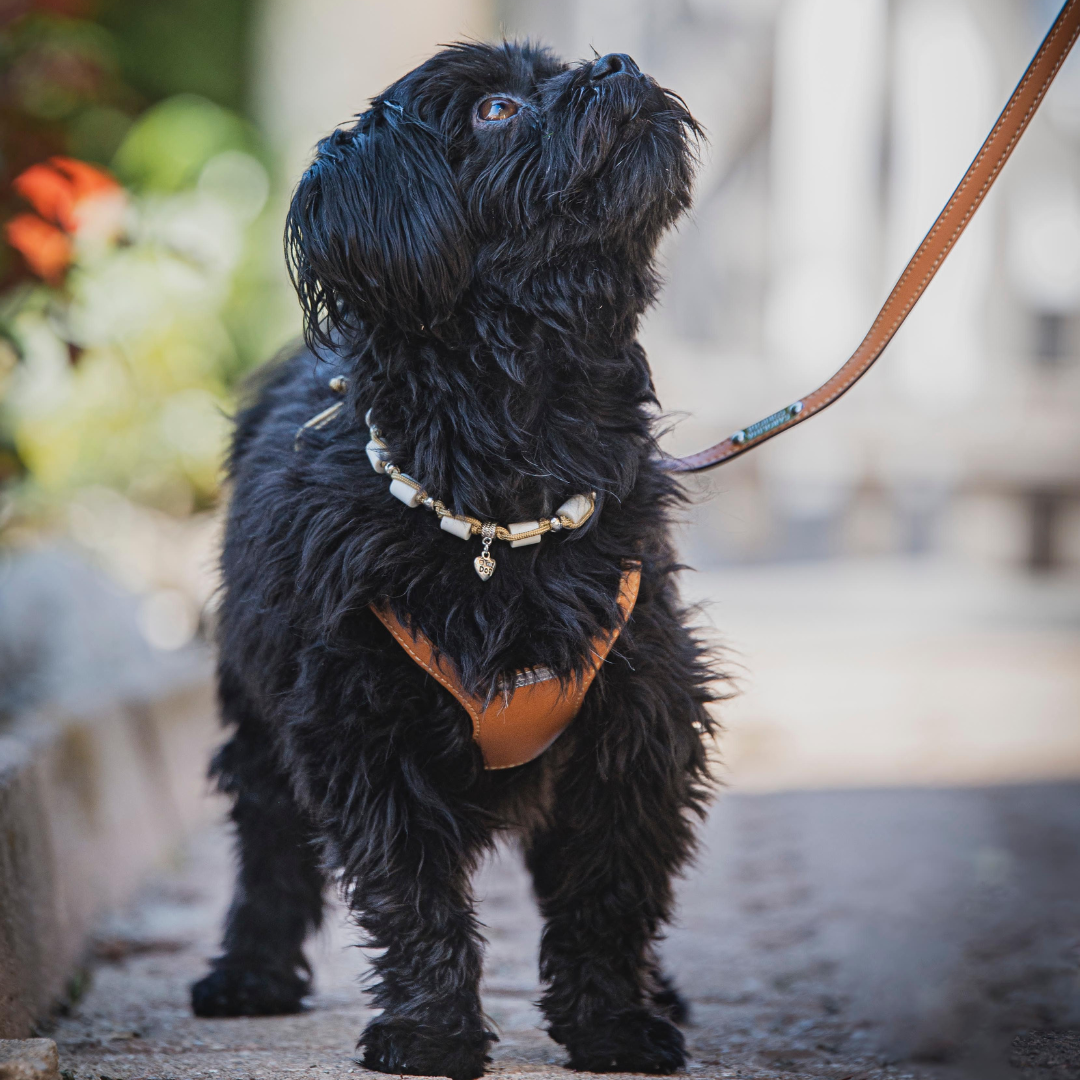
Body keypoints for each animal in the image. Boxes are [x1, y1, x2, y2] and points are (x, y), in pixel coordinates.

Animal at [193, 42, 717, 1080]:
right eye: (495, 109)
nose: (619, 59)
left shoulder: (638, 719)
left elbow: (610, 889)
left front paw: (613, 1023)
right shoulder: (361, 726)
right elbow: (413, 895)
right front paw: (431, 1033)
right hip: (259, 707)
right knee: (269, 842)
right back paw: (250, 972)